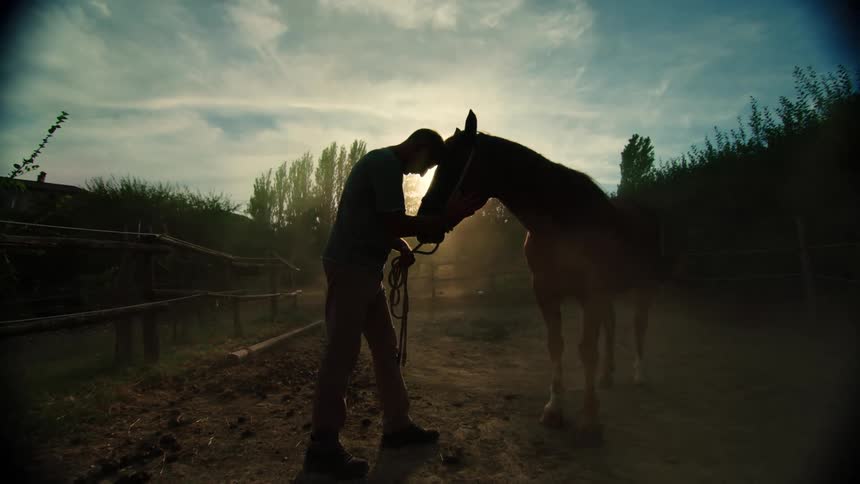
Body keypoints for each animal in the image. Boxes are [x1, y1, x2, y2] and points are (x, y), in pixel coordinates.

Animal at [416, 110, 668, 444]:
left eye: (455, 161)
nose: (424, 220)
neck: (563, 220)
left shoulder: (591, 292)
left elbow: (586, 350)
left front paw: (590, 420)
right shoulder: (546, 291)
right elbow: (556, 345)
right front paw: (554, 410)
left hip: (643, 287)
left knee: (639, 326)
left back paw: (639, 374)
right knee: (612, 325)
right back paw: (607, 376)